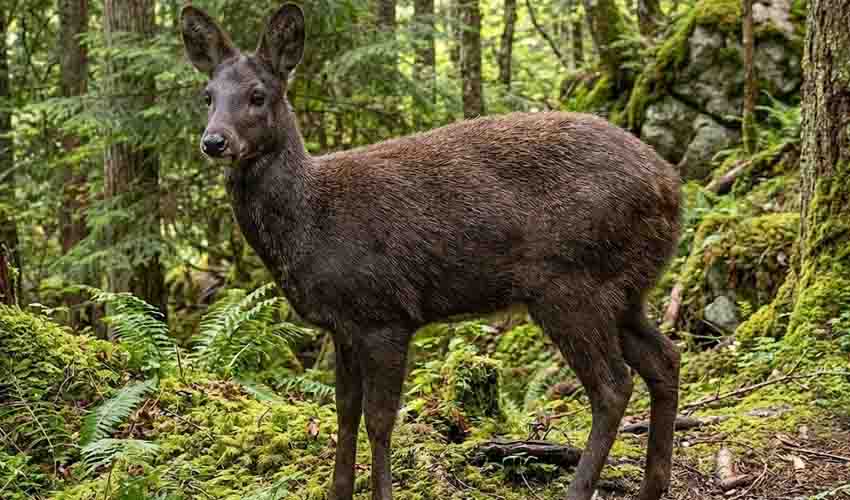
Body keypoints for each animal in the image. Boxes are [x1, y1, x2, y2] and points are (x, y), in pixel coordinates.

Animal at [181, 4, 682, 500]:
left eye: (258, 95)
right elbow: (344, 412)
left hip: (572, 283)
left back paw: (581, 488)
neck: (311, 222)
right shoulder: (342, 325)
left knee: (613, 386)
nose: (214, 141)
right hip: (625, 287)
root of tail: (672, 187)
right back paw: (651, 487)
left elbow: (379, 421)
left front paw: (382, 492)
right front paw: (339, 490)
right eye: (207, 95)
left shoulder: (384, 313)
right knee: (665, 358)